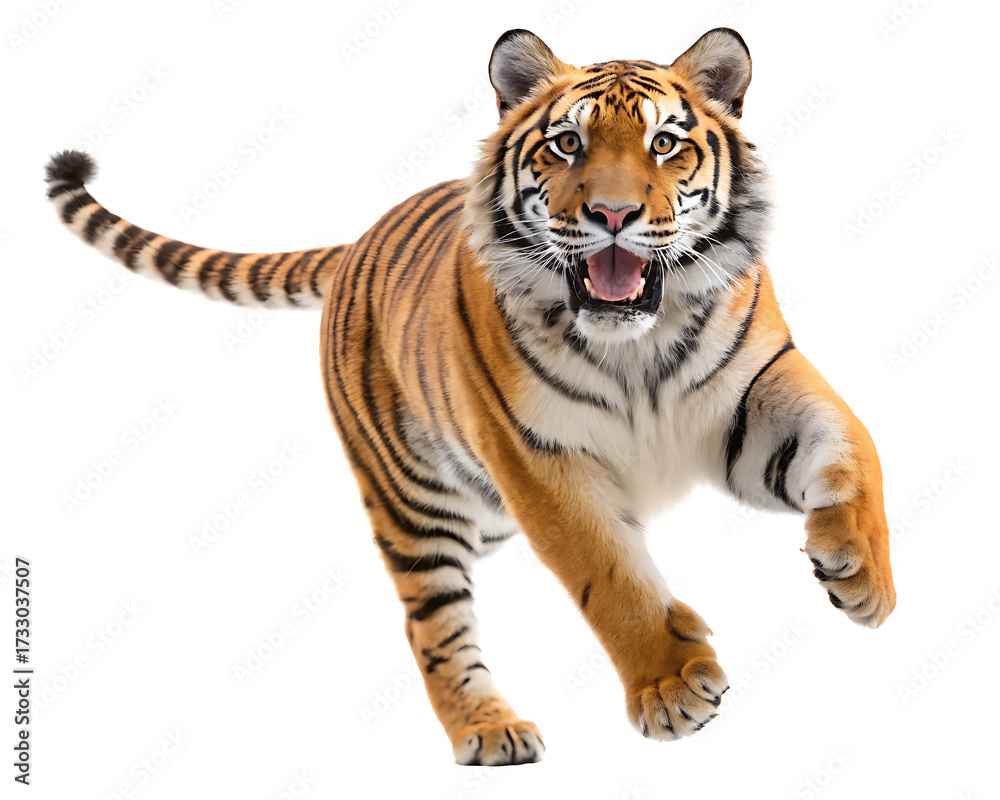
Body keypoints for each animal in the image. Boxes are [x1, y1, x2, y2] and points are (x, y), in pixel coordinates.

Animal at [45, 27, 896, 766]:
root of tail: (356, 243)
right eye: (567, 143)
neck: (636, 344)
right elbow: (608, 572)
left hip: (485, 510)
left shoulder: (760, 389)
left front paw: (861, 576)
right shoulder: (537, 457)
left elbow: (855, 446)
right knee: (434, 627)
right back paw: (488, 729)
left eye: (664, 143)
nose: (613, 214)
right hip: (418, 503)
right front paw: (671, 684)